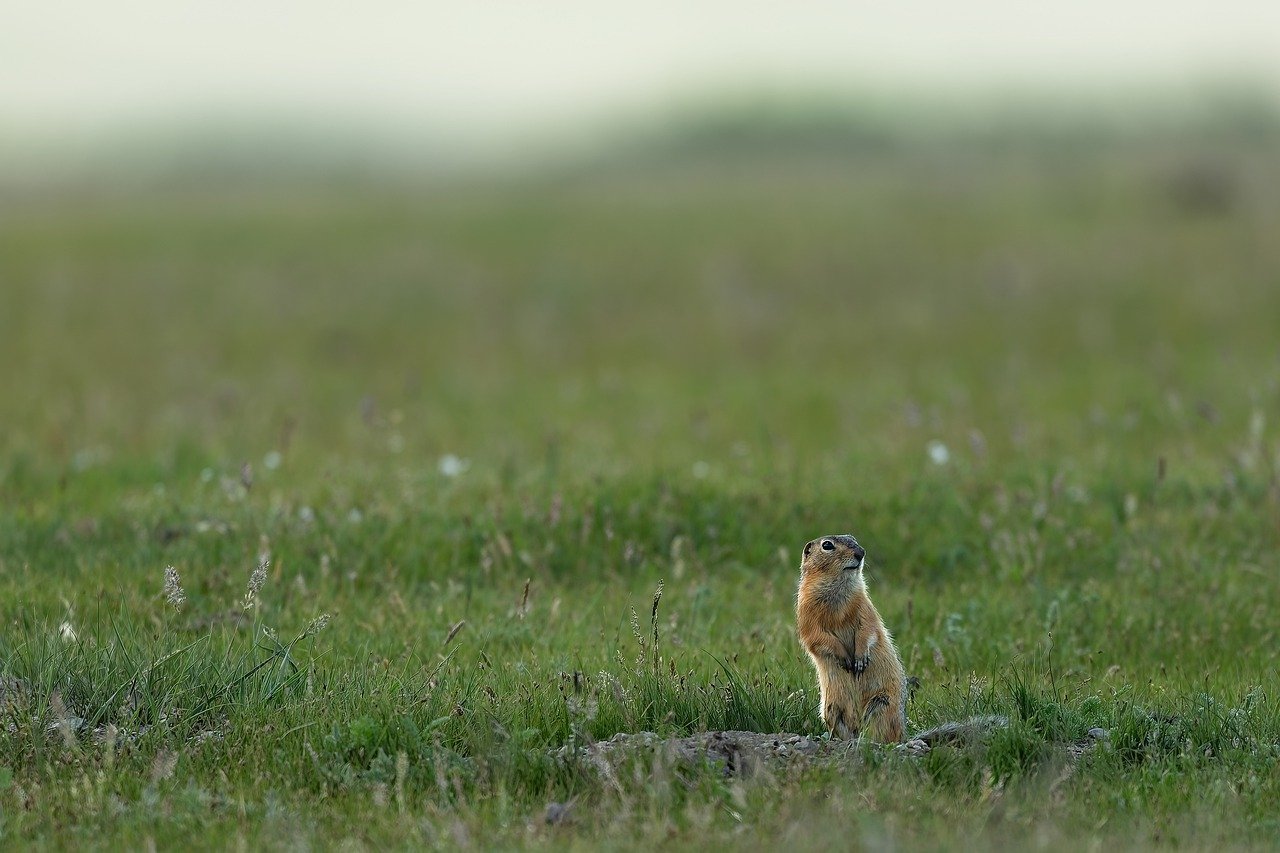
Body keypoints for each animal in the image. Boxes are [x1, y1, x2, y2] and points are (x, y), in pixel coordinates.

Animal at [796, 534, 907, 742]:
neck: (837, 587)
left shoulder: (865, 606)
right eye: (827, 545)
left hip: (883, 704)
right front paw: (846, 659)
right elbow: (817, 638)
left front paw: (860, 660)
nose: (861, 552)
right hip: (831, 709)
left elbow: (869, 628)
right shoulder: (807, 615)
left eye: (852, 538)